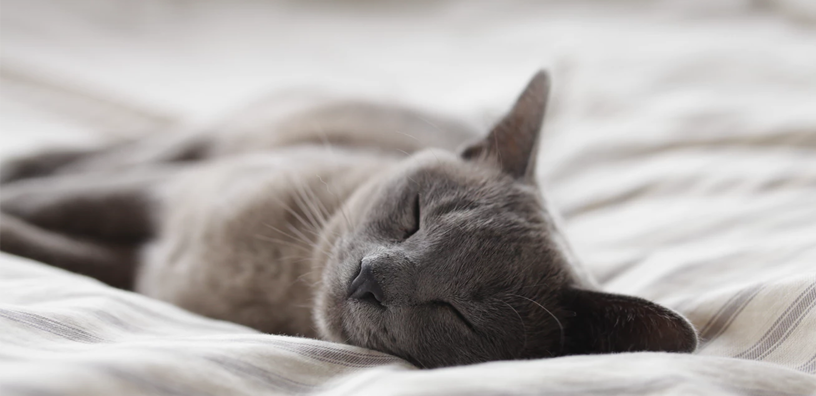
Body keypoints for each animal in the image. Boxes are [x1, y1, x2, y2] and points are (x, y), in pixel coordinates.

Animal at [0, 71, 696, 368]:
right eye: (413, 217)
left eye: (458, 313)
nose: (370, 277)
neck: (278, 281)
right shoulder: (162, 196)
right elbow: (55, 204)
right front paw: (13, 199)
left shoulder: (138, 268)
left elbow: (52, 246)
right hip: (200, 144)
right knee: (105, 154)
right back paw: (23, 159)